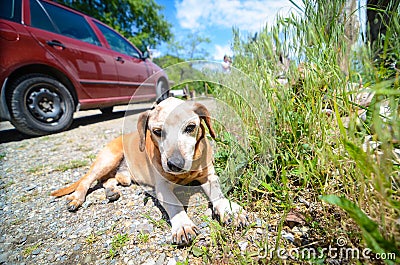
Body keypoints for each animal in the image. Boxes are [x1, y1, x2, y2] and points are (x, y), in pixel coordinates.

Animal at [50, 97, 247, 245]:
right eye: (157, 131)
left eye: (190, 127)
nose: (175, 164)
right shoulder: (162, 188)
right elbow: (174, 204)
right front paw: (182, 225)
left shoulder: (209, 176)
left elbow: (218, 194)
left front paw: (229, 210)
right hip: (107, 160)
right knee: (87, 180)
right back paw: (76, 198)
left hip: (120, 173)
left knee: (108, 180)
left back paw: (111, 191)